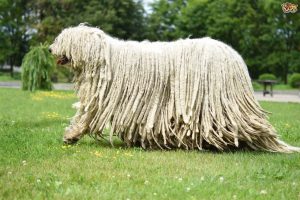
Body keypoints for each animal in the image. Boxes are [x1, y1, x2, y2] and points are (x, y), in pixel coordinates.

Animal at [49, 23, 298, 152]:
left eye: (62, 39)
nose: (50, 49)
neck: (104, 57)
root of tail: (234, 57)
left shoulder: (103, 99)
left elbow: (86, 116)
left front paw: (71, 135)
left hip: (218, 102)